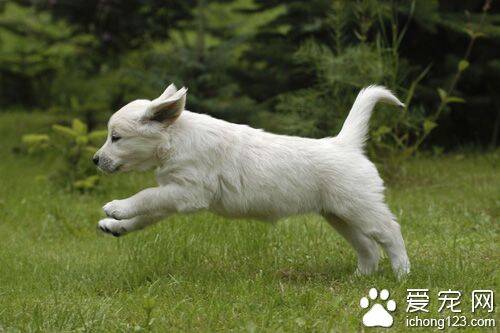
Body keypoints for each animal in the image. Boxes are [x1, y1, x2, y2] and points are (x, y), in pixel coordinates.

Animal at [94, 84, 410, 276]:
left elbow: (145, 195)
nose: (95, 160)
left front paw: (117, 207)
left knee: (390, 233)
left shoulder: (188, 193)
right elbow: (146, 213)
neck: (177, 139)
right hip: (339, 215)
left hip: (361, 207)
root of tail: (345, 143)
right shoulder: (173, 193)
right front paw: (116, 225)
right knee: (367, 246)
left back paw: (402, 274)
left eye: (116, 137)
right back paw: (361, 277)